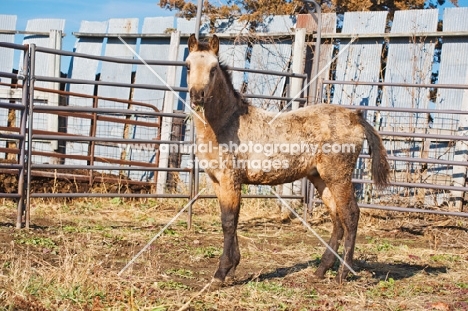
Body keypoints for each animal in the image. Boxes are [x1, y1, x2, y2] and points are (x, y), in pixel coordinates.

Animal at [186, 34, 392, 286]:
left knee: (350, 215)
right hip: (320, 178)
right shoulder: (217, 181)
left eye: (213, 68)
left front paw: (221, 272)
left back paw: (342, 274)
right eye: (188, 65)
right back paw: (320, 270)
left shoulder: (230, 179)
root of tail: (354, 116)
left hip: (338, 175)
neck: (226, 124)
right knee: (336, 219)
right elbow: (231, 220)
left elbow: (228, 221)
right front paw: (233, 267)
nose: (197, 96)